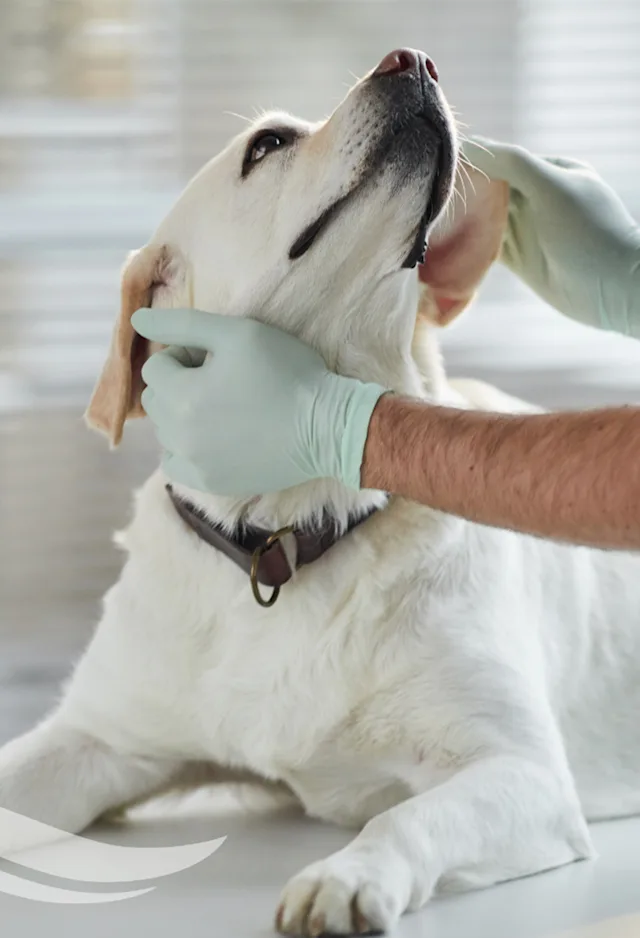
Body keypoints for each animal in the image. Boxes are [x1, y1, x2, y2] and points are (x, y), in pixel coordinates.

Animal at [1, 45, 640, 936]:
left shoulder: (522, 773)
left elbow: (408, 816)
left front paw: (348, 876)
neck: (280, 539)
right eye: (268, 144)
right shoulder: (94, 741)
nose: (413, 58)